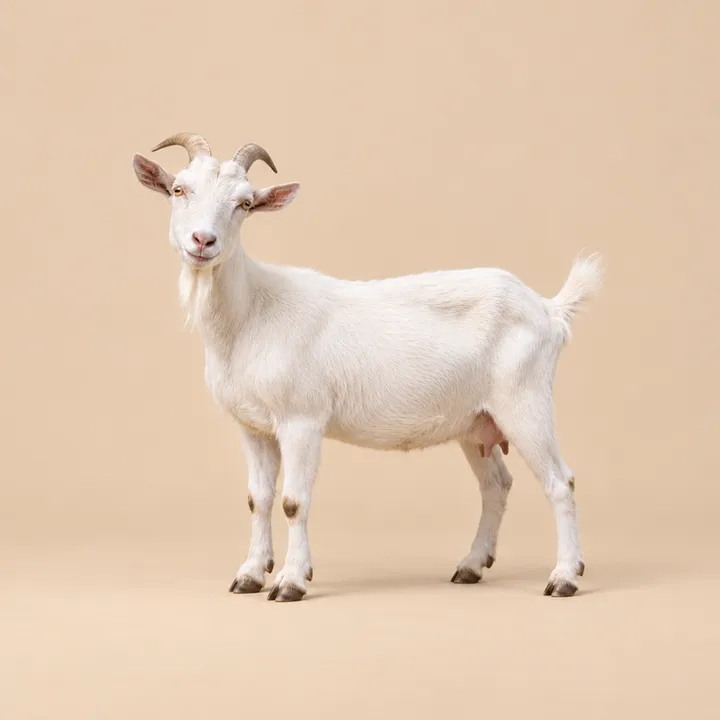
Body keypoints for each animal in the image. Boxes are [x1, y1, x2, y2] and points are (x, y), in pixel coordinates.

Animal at [132, 133, 603, 602]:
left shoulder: (301, 418)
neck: (251, 314)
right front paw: (250, 574)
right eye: (179, 190)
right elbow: (258, 499)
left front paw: (290, 581)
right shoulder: (253, 426)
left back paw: (564, 576)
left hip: (524, 399)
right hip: (476, 420)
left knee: (560, 481)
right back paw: (471, 565)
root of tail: (548, 309)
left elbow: (293, 502)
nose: (203, 240)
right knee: (496, 484)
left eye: (244, 203)